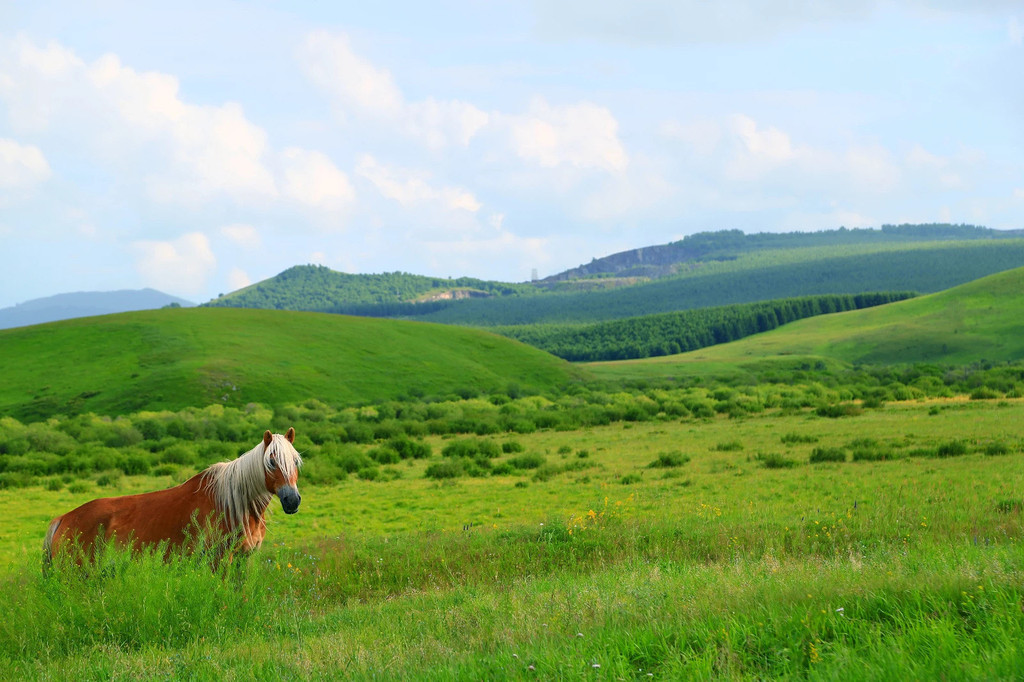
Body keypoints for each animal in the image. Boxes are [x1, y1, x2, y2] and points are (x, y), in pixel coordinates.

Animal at [44, 428, 299, 565]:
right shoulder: (220, 560)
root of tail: (63, 519)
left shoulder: (242, 559)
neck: (233, 504)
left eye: (296, 461)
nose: (292, 501)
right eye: (271, 462)